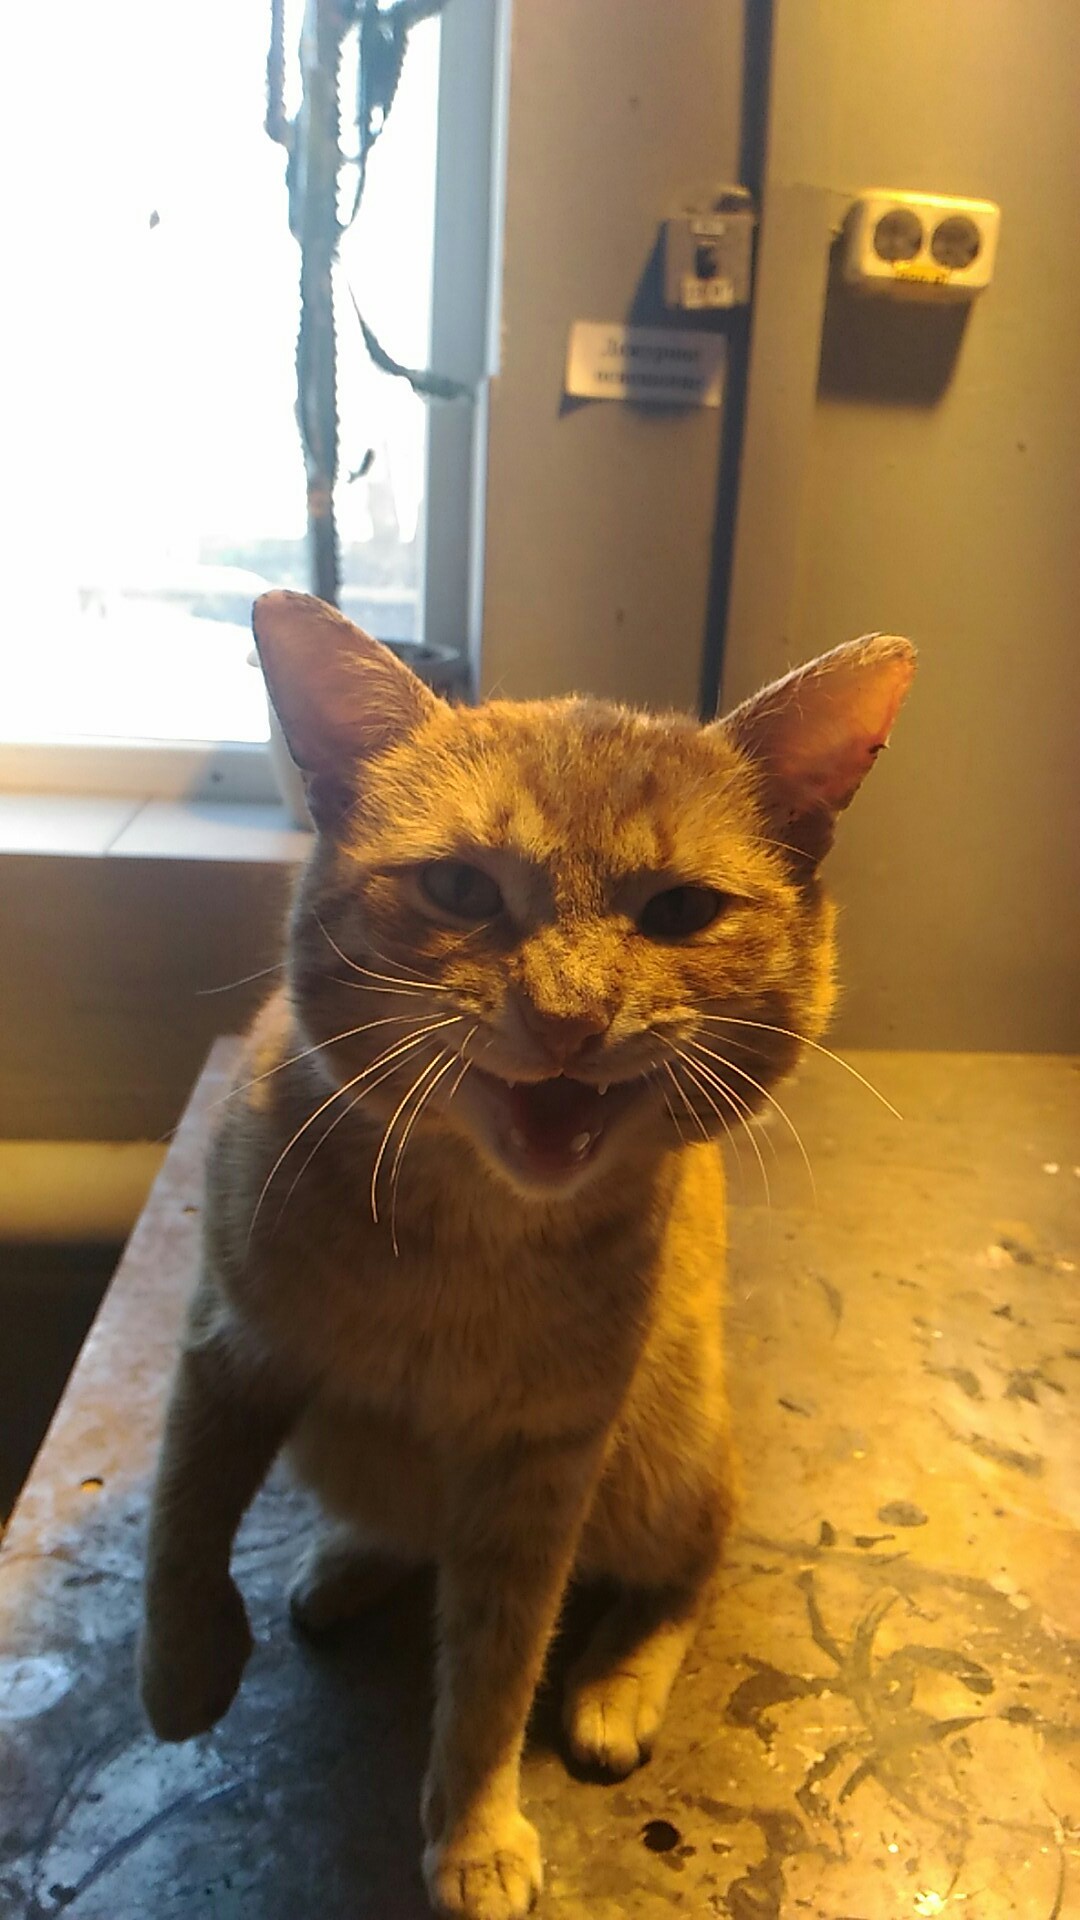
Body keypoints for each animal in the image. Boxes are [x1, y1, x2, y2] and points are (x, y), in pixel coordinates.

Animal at [134, 591, 907, 1912]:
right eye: (458, 887)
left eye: (680, 912)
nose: (568, 1019)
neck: (463, 1232)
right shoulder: (228, 1348)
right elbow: (181, 1522)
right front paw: (183, 1670)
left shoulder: (542, 1464)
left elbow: (497, 1660)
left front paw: (474, 1828)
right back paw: (355, 1560)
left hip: (669, 1448)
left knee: (693, 1558)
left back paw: (617, 1682)